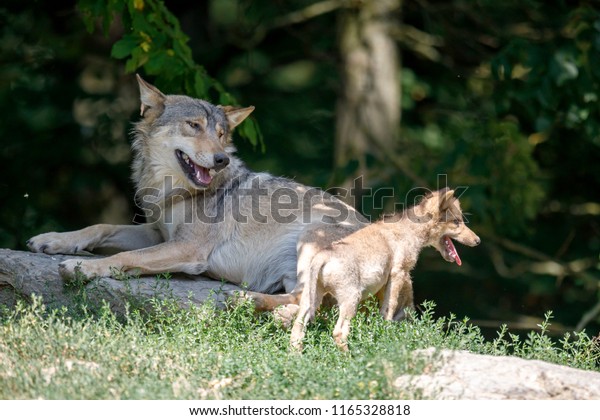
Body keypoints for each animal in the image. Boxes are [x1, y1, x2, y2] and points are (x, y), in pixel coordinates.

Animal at [27, 74, 366, 312]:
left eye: (220, 134)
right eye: (194, 125)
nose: (221, 159)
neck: (171, 191)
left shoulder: (187, 249)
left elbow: (125, 256)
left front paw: (82, 267)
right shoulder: (157, 233)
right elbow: (100, 226)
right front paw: (53, 240)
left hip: (312, 236)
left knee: (310, 304)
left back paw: (247, 301)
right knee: (304, 302)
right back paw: (252, 302)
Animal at [288, 189, 480, 352]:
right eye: (457, 222)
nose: (478, 241)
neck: (411, 231)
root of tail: (322, 257)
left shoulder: (385, 282)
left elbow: (384, 310)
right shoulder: (398, 273)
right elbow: (390, 308)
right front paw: (386, 334)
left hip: (311, 301)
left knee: (296, 332)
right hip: (351, 300)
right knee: (339, 333)